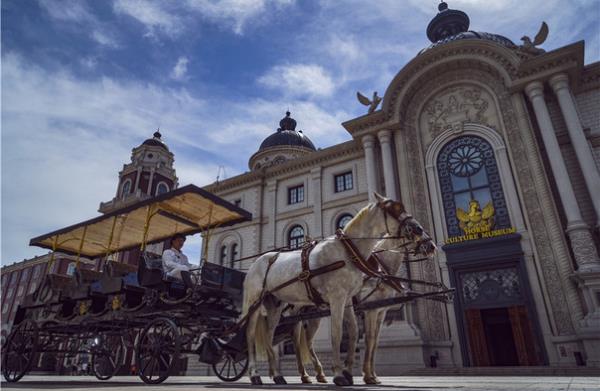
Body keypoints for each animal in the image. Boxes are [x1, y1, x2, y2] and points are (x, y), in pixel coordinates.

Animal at [241, 193, 434, 386]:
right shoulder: (343, 301)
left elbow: (358, 334)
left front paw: (354, 372)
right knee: (251, 335)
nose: (429, 243)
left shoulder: (356, 303)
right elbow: (341, 334)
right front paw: (342, 374)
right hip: (255, 303)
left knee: (277, 336)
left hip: (280, 306)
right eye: (394, 208)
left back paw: (282, 375)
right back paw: (256, 374)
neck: (348, 253)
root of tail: (257, 262)